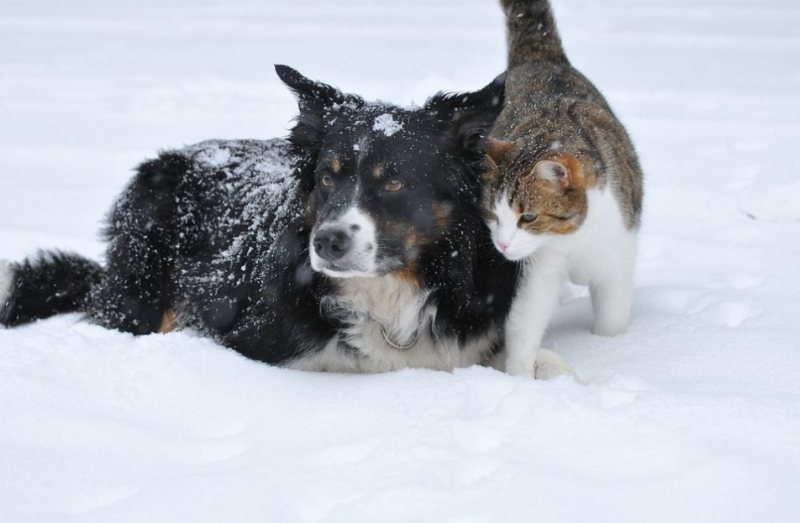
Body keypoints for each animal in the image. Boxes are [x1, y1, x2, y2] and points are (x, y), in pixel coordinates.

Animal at [1, 66, 576, 376]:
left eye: (394, 183)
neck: (389, 296)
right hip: (143, 286)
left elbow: (533, 360)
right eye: (326, 177)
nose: (327, 243)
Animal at [482, 0, 644, 378]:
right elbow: (525, 320)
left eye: (527, 217)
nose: (502, 244)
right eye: (493, 215)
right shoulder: (539, 267)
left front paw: (613, 348)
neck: (575, 237)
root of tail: (541, 58)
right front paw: (519, 376)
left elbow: (612, 316)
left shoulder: (618, 253)